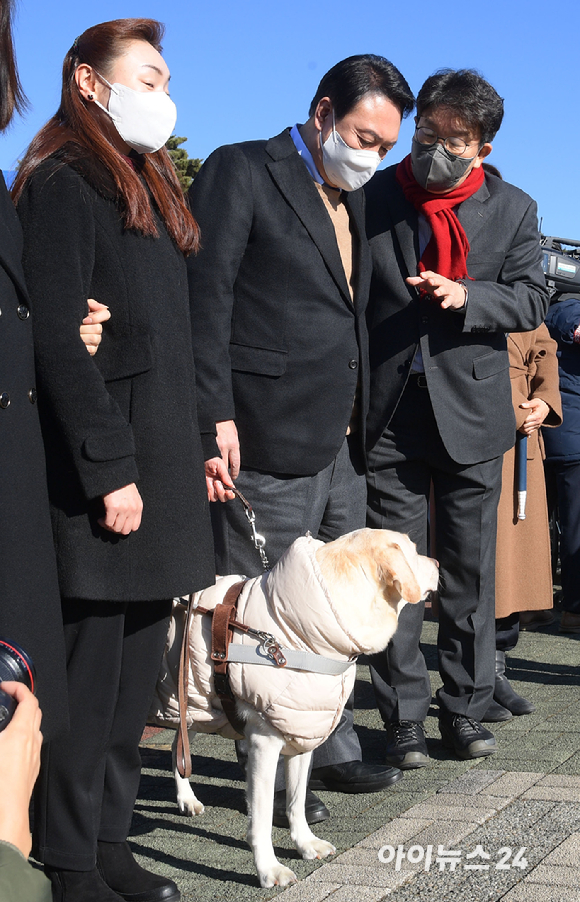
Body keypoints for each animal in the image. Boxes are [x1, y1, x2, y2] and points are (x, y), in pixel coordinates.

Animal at [152, 528, 438, 888]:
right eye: (413, 552)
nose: (438, 562)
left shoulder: (302, 734)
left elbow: (297, 801)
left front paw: (305, 843)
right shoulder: (264, 743)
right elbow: (260, 819)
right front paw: (269, 869)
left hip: (187, 701)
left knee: (178, 746)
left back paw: (187, 799)